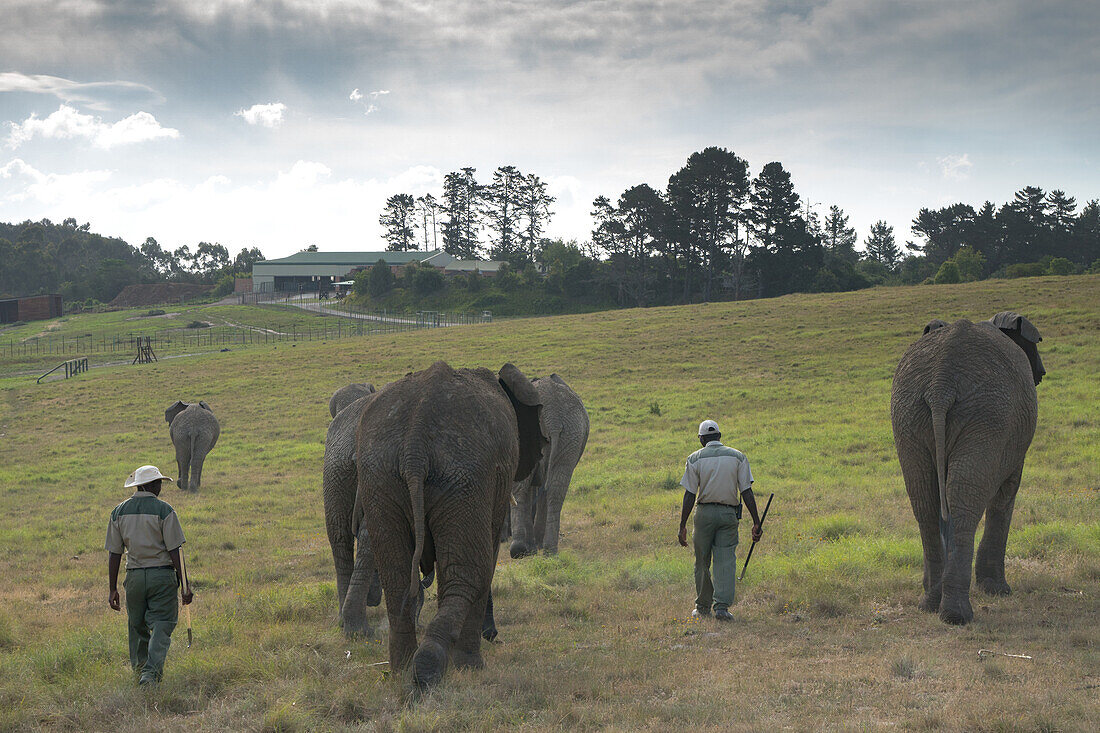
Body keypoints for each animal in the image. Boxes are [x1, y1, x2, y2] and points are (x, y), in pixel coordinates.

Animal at [354, 363, 547, 686]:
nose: (495, 637)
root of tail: (415, 445)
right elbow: (486, 559)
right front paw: (472, 668)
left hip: (381, 477)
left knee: (396, 576)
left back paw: (403, 670)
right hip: (463, 477)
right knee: (469, 573)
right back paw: (429, 674)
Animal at [508, 374, 589, 556]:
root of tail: (553, 415)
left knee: (527, 488)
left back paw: (522, 549)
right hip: (571, 433)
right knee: (555, 488)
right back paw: (548, 550)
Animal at [888, 308, 1042, 620]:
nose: (1041, 374)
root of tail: (941, 382)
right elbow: (1007, 491)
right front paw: (997, 590)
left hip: (908, 413)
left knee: (925, 500)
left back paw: (931, 603)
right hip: (988, 416)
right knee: (963, 498)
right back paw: (957, 615)